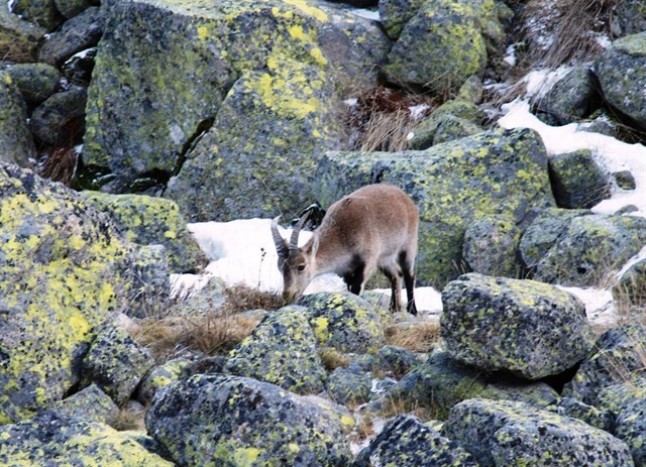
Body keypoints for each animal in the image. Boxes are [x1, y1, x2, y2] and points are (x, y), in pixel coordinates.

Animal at [271, 183, 419, 314]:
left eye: (301, 266)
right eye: (280, 267)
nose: (287, 295)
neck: (342, 235)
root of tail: (405, 198)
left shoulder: (367, 262)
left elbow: (356, 290)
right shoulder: (345, 270)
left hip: (408, 246)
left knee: (408, 275)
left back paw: (412, 310)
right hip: (384, 259)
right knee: (395, 275)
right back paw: (394, 309)